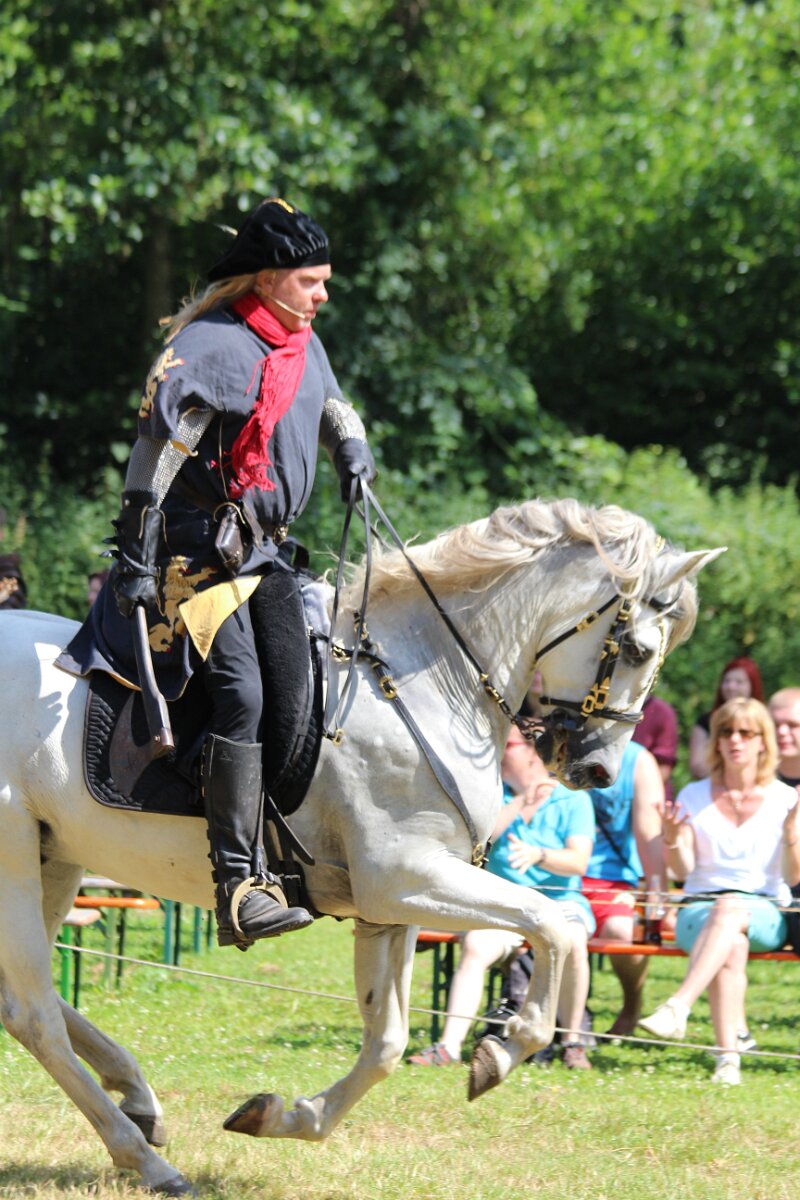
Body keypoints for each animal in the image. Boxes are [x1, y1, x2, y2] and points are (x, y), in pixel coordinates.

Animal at [0, 497, 721, 1195]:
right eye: (638, 650)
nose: (598, 769)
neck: (429, 683)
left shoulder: (390, 906)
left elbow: (387, 1043)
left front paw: (284, 1116)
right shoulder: (405, 876)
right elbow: (557, 923)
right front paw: (505, 1049)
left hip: (55, 859)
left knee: (21, 1005)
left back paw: (140, 1099)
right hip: (15, 863)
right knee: (33, 1016)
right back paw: (146, 1159)